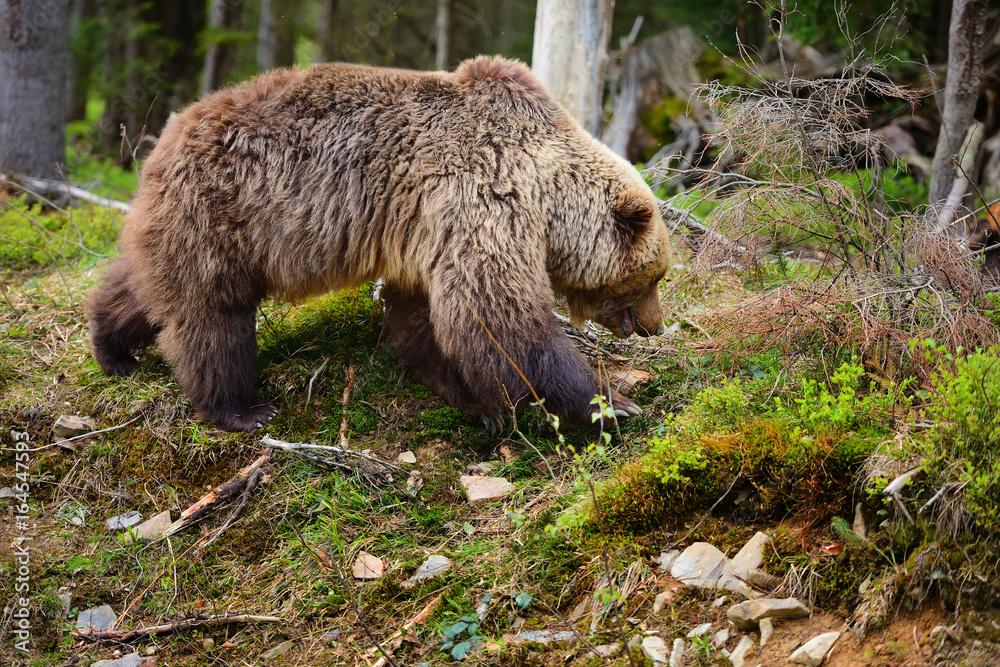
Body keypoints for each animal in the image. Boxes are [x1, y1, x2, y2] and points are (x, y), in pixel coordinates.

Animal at [86, 56, 673, 432]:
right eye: (653, 277)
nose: (655, 325)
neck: (546, 199)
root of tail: (164, 137)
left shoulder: (423, 232)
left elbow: (422, 318)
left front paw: (472, 399)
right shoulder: (481, 200)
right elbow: (499, 318)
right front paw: (611, 402)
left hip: (193, 225)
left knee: (145, 288)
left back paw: (112, 348)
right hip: (224, 214)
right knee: (213, 316)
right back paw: (240, 409)